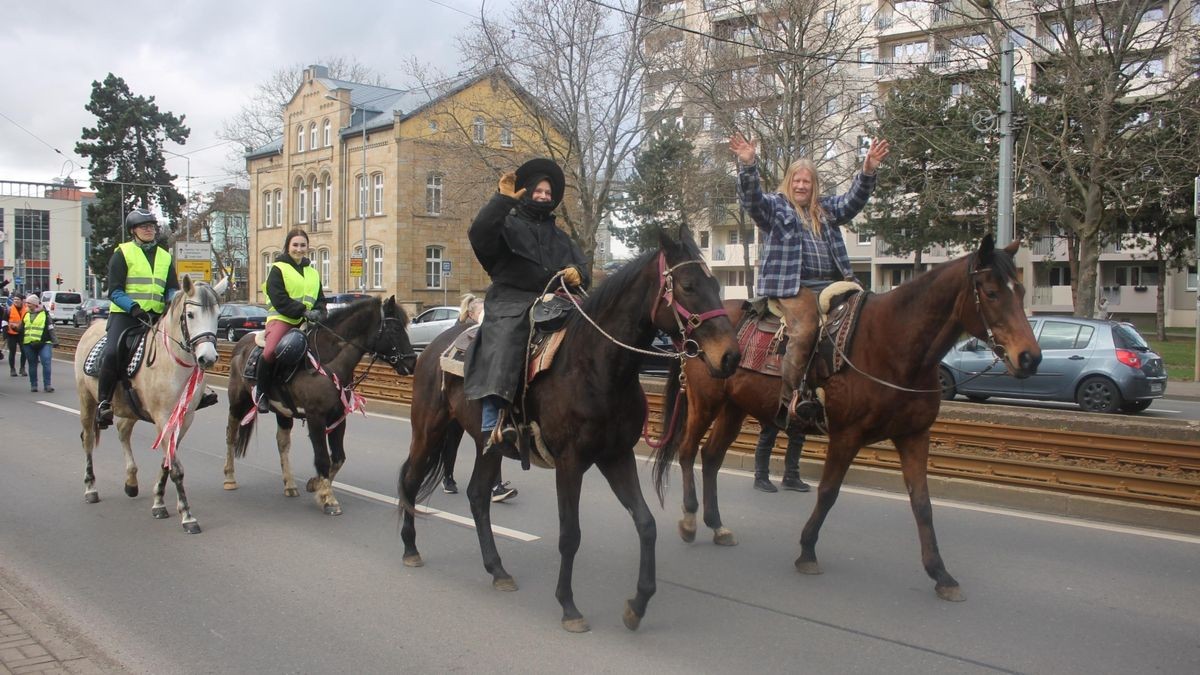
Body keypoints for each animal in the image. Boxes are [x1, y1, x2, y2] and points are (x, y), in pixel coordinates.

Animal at [73, 273, 225, 530]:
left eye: (218, 315)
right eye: (190, 315)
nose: (208, 358)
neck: (172, 363)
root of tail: (91, 328)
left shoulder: (184, 419)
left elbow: (167, 462)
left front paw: (159, 504)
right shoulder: (163, 417)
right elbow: (176, 468)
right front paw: (187, 515)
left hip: (130, 408)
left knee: (123, 431)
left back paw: (131, 482)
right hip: (87, 401)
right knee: (89, 439)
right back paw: (90, 488)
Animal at [223, 295, 415, 514]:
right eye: (395, 329)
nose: (412, 362)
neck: (326, 362)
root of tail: (241, 344)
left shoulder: (339, 418)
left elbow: (338, 457)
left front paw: (316, 485)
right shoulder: (316, 417)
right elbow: (323, 458)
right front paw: (328, 498)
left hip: (283, 413)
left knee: (282, 444)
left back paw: (290, 484)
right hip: (237, 402)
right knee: (231, 435)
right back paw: (229, 477)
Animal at [398, 230, 739, 629]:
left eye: (716, 285)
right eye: (687, 285)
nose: (731, 356)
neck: (598, 367)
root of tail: (435, 346)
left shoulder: (616, 457)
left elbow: (646, 523)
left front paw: (637, 604)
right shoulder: (570, 463)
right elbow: (570, 534)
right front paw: (568, 605)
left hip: (488, 445)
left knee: (478, 497)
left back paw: (498, 570)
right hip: (428, 430)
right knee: (411, 480)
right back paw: (410, 547)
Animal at [652, 235, 1036, 598]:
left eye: (1021, 290)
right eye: (991, 293)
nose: (1030, 357)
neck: (892, 344)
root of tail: (690, 332)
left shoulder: (914, 436)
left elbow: (922, 504)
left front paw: (941, 574)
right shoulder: (847, 435)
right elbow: (828, 492)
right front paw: (807, 551)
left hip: (735, 408)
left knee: (711, 457)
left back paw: (716, 525)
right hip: (705, 402)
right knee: (688, 451)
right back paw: (689, 521)